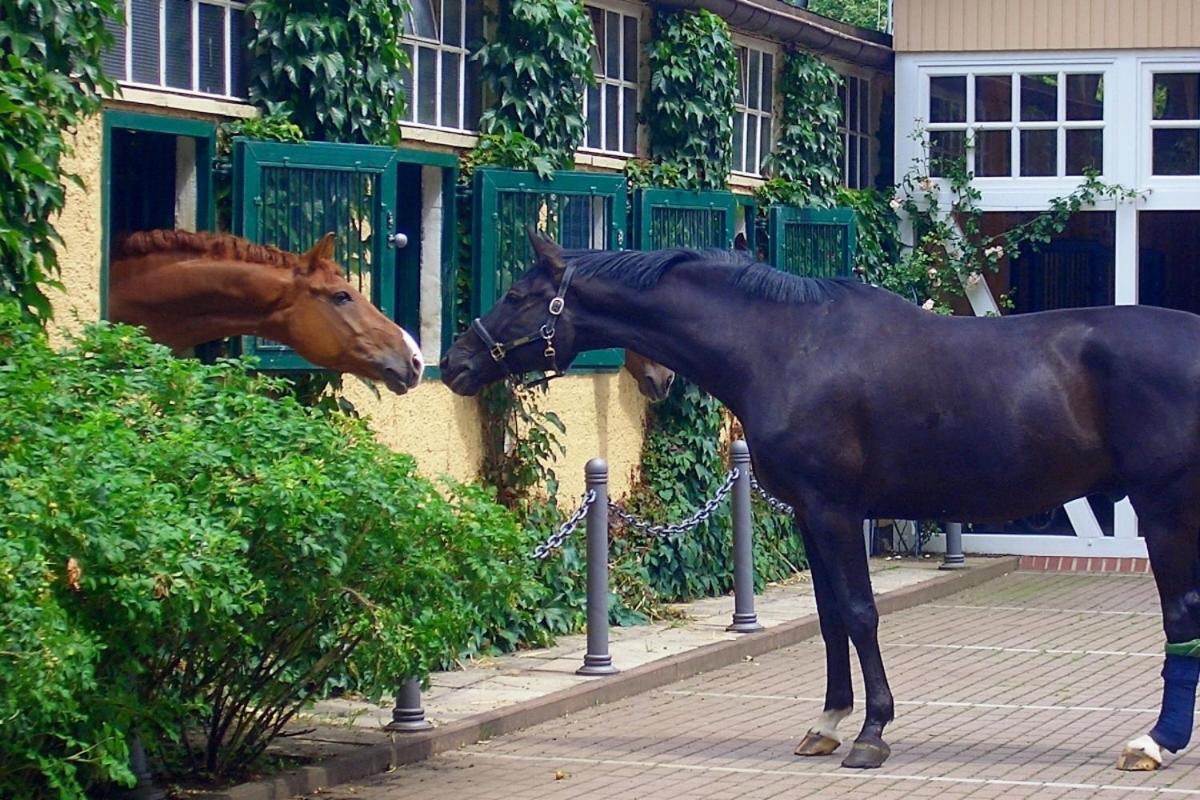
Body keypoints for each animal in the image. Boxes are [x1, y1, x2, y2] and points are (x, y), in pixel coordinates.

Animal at [446, 231, 1200, 777]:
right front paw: (827, 724)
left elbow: (861, 614)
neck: (786, 346)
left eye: (517, 293)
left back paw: (1155, 742)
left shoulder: (837, 510)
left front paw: (872, 732)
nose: (456, 362)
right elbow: (831, 616)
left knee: (1179, 616)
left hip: (1165, 509)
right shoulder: (810, 514)